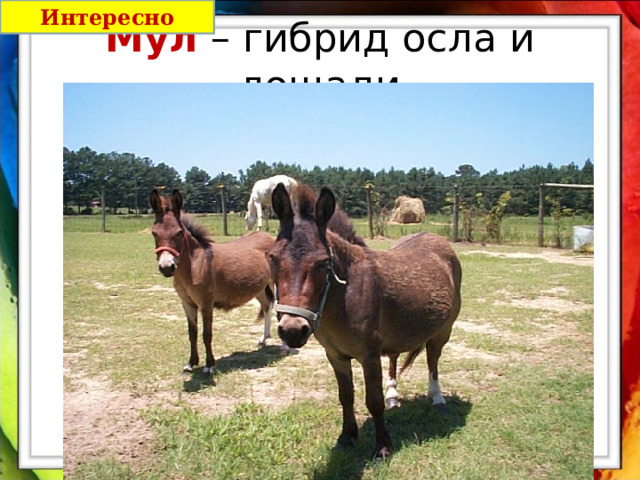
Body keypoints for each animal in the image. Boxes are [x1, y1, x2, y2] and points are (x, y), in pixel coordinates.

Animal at [149, 189, 279, 374]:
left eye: (179, 232)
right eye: (154, 233)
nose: (167, 267)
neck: (196, 264)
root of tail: (267, 236)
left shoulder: (206, 303)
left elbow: (206, 334)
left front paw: (209, 365)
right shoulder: (187, 303)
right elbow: (192, 333)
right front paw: (191, 363)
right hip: (259, 287)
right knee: (267, 306)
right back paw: (264, 338)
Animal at [268, 183, 462, 458]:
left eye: (323, 262)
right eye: (272, 258)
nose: (293, 330)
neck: (346, 293)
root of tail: (437, 239)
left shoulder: (369, 356)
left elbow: (374, 401)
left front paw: (382, 446)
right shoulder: (336, 356)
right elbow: (345, 396)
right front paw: (347, 437)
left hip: (443, 331)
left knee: (432, 360)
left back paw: (437, 398)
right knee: (394, 357)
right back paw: (394, 395)